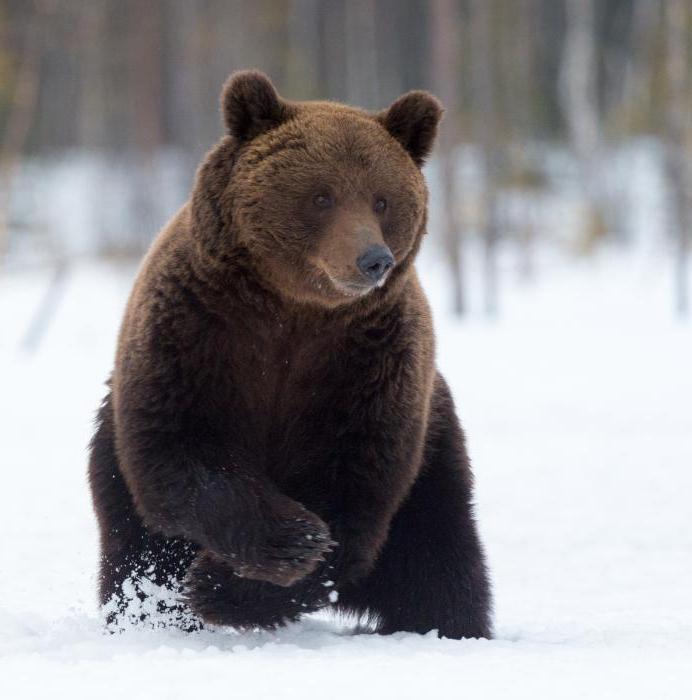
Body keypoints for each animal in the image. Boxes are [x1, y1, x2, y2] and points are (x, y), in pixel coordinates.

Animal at [88, 71, 492, 640]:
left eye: (382, 200)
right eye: (322, 195)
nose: (373, 259)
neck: (293, 312)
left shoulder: (368, 364)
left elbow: (351, 486)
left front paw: (224, 589)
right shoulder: (195, 336)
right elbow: (185, 451)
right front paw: (285, 543)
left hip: (434, 451)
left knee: (440, 555)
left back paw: (446, 626)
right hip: (110, 453)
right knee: (138, 549)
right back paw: (147, 612)